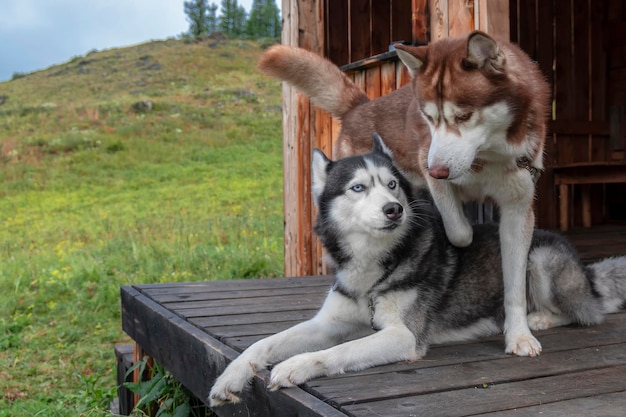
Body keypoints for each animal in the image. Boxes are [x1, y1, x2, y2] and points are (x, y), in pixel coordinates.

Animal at [208, 134, 624, 406]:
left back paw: (536, 320)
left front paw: (296, 366)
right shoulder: (328, 323)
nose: (394, 209)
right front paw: (230, 377)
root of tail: (585, 269)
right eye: (358, 188)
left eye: (392, 184)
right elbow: (264, 343)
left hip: (537, 258)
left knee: (585, 312)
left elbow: (340, 350)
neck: (374, 268)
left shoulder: (402, 336)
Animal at [256, 30, 548, 354]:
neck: (489, 157)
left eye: (464, 116)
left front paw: (519, 335)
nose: (436, 170)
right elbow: (461, 232)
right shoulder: (433, 174)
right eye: (428, 117)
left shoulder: (518, 208)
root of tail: (361, 105)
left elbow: (515, 284)